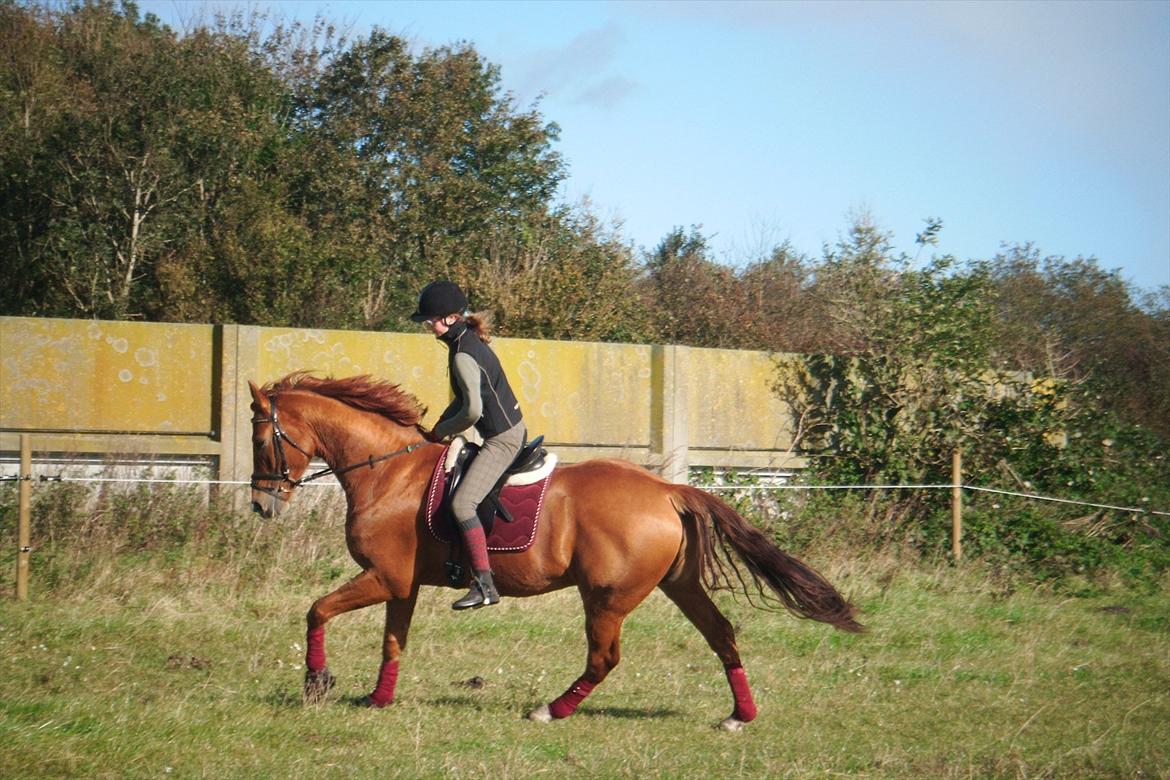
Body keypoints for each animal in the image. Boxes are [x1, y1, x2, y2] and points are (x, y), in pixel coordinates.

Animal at [249, 371, 861, 734]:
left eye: (260, 439)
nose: (261, 504)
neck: (386, 472)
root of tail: (667, 489)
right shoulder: (403, 584)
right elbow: (392, 642)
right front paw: (378, 700)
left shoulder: (384, 577)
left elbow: (316, 611)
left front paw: (317, 683)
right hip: (678, 585)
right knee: (722, 634)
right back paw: (740, 715)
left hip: (607, 596)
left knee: (604, 658)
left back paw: (550, 709)